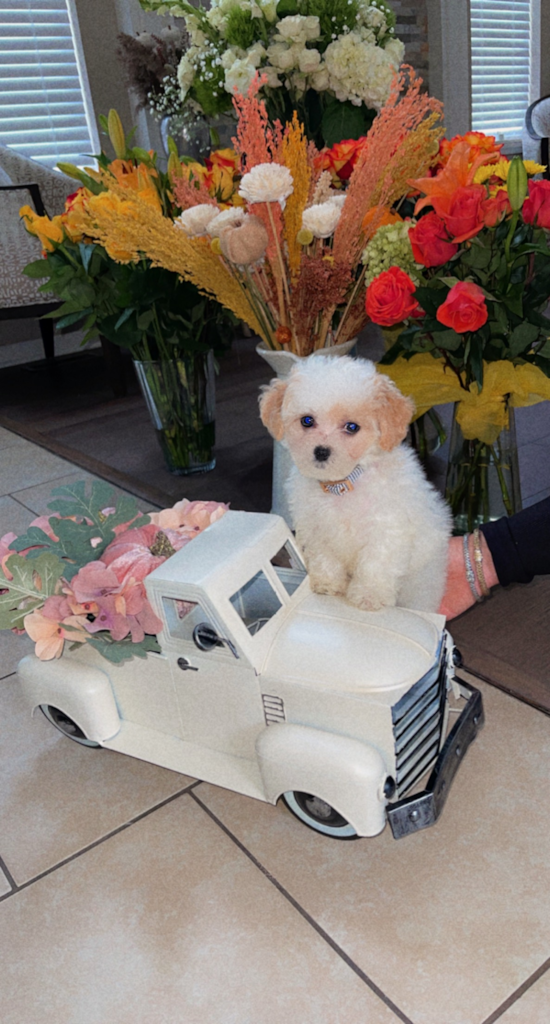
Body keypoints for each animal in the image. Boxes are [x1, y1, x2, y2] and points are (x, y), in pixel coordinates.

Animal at [260, 354, 450, 606]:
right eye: (307, 421)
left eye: (352, 427)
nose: (321, 451)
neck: (341, 486)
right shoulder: (316, 529)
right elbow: (325, 558)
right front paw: (328, 585)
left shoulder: (386, 530)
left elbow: (374, 565)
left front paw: (369, 595)